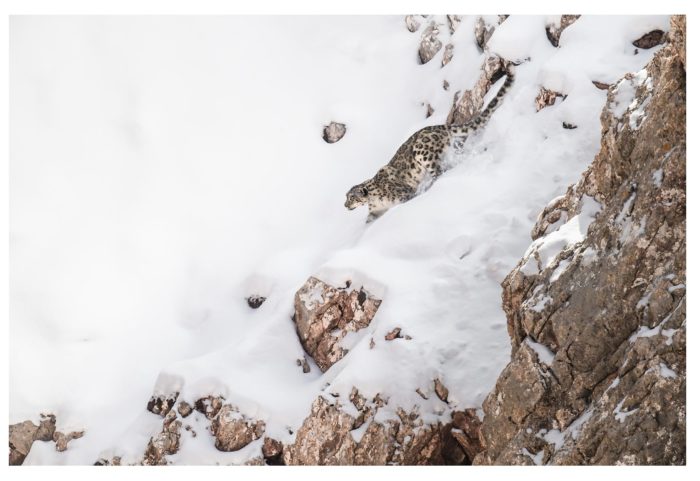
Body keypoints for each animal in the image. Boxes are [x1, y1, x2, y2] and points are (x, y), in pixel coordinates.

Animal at [344, 59, 516, 221]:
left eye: (352, 197)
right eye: (346, 196)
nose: (345, 205)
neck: (375, 200)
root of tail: (440, 127)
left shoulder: (404, 194)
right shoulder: (374, 212)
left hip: (424, 154)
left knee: (440, 171)